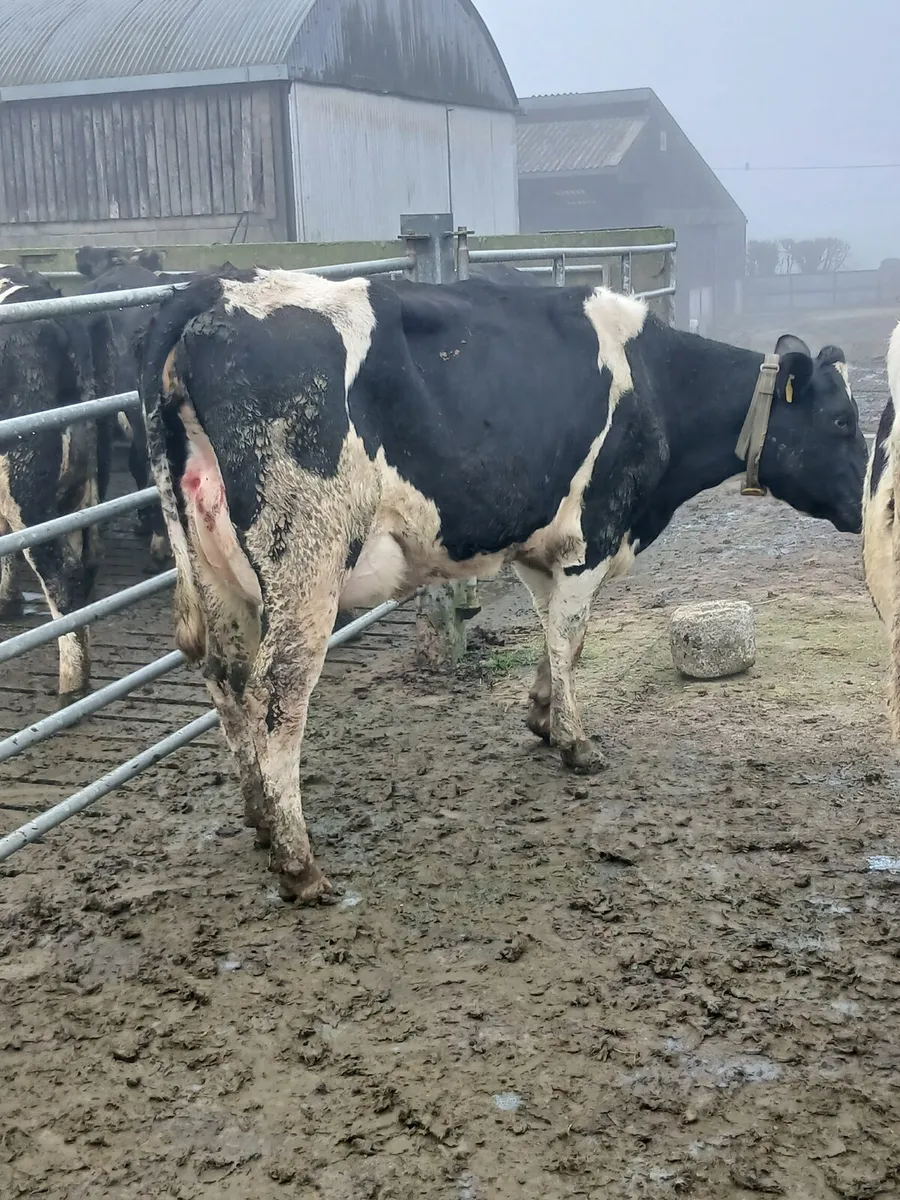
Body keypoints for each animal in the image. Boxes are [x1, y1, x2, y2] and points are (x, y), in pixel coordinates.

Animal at [137, 268, 866, 901]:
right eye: (840, 422)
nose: (866, 503)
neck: (659, 386)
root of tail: (216, 290)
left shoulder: (539, 543)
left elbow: (556, 638)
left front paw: (542, 716)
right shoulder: (592, 535)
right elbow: (572, 637)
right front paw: (576, 743)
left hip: (219, 571)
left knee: (226, 678)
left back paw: (261, 822)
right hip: (305, 555)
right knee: (276, 694)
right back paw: (298, 861)